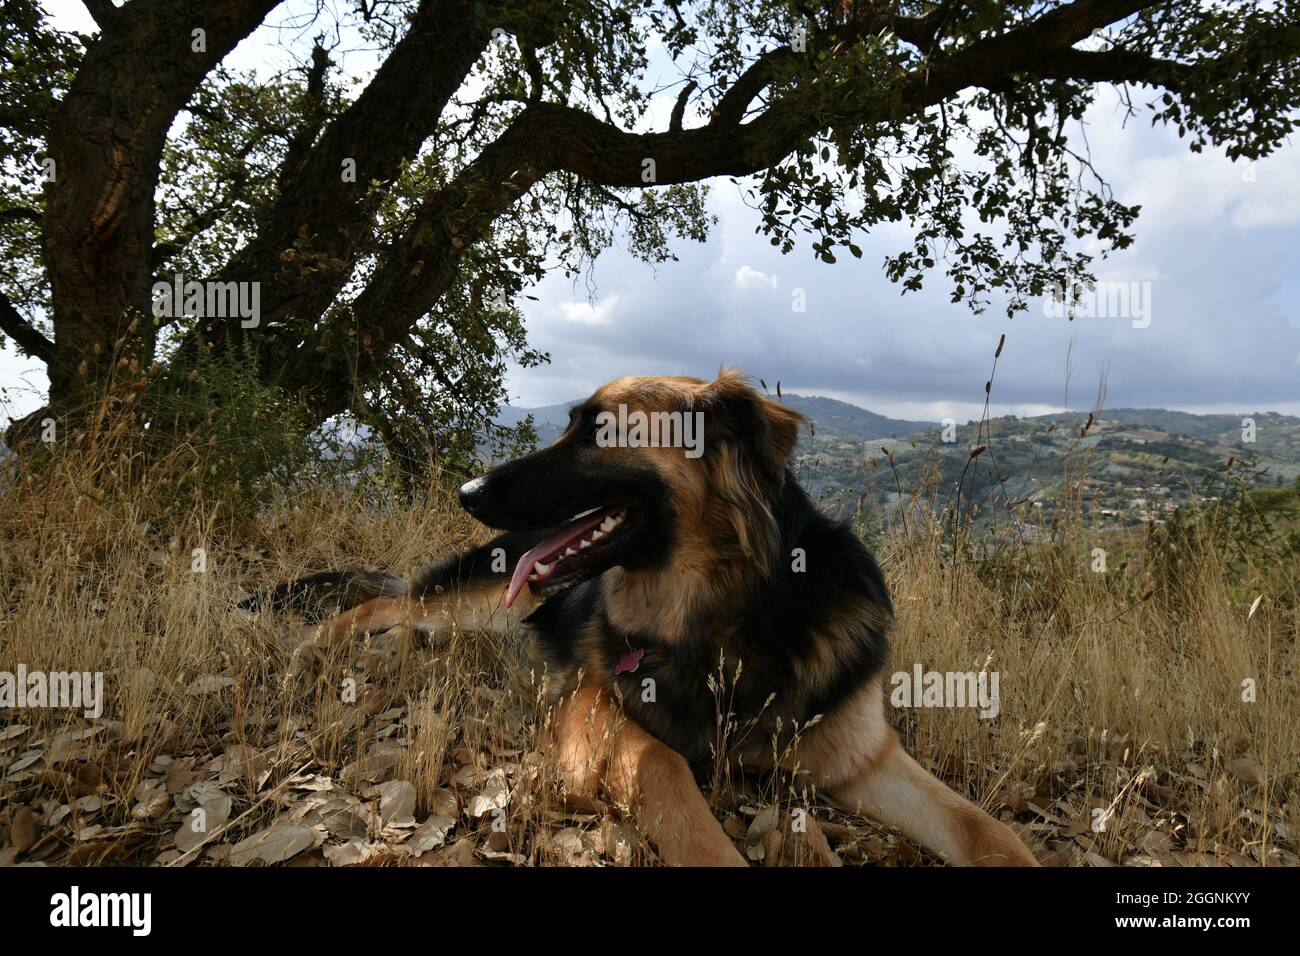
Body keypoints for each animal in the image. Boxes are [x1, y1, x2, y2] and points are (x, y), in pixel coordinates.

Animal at [250, 369, 1045, 868]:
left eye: (597, 430)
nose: (466, 489)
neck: (730, 618)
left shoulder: (865, 754)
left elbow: (990, 832)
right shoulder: (588, 703)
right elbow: (662, 766)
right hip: (480, 601)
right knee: (385, 602)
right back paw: (315, 646)